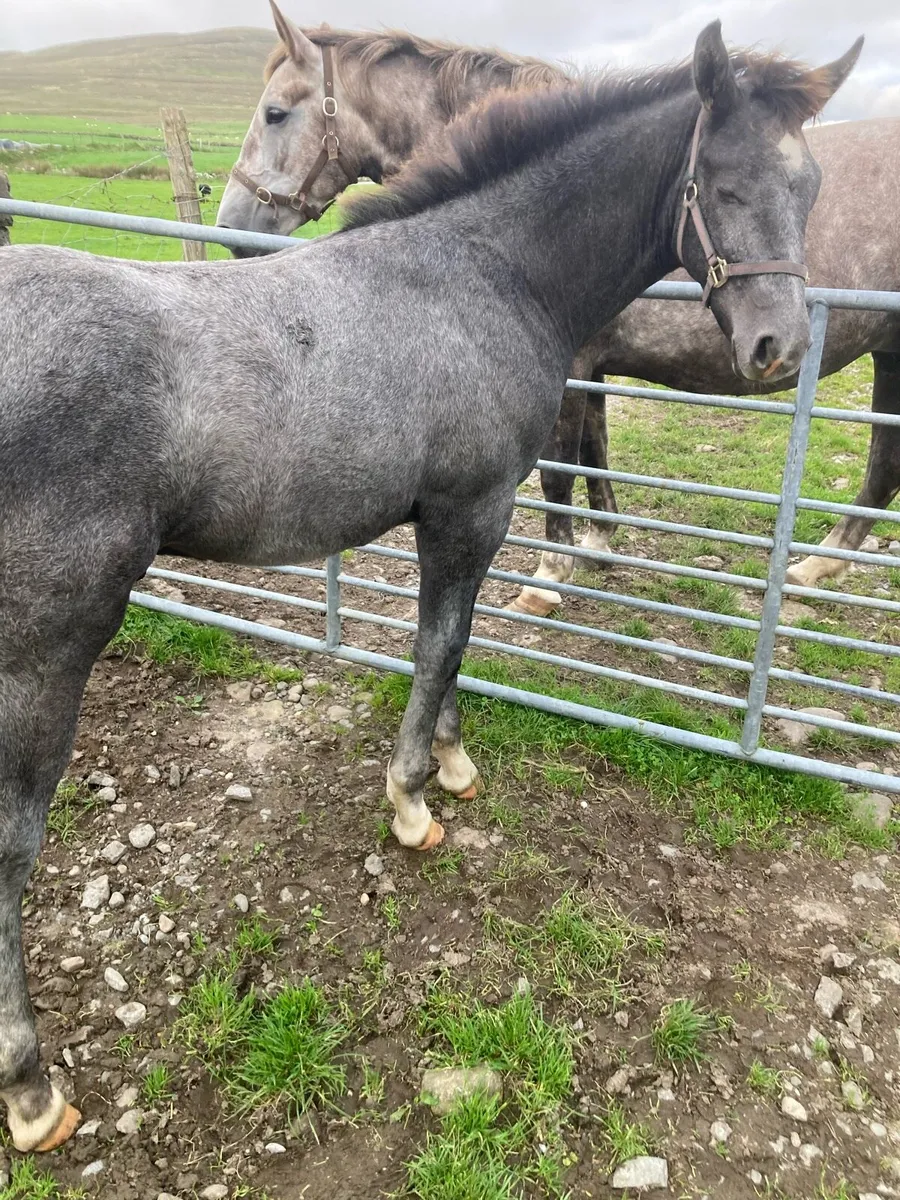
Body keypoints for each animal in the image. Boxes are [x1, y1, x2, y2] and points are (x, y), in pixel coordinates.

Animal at [0, 23, 857, 1153]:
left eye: (808, 186)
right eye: (718, 181)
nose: (776, 348)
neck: (483, 273)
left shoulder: (445, 520)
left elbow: (447, 649)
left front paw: (450, 765)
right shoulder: (472, 512)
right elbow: (443, 645)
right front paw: (414, 802)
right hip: (48, 649)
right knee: (11, 848)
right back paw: (33, 1092)